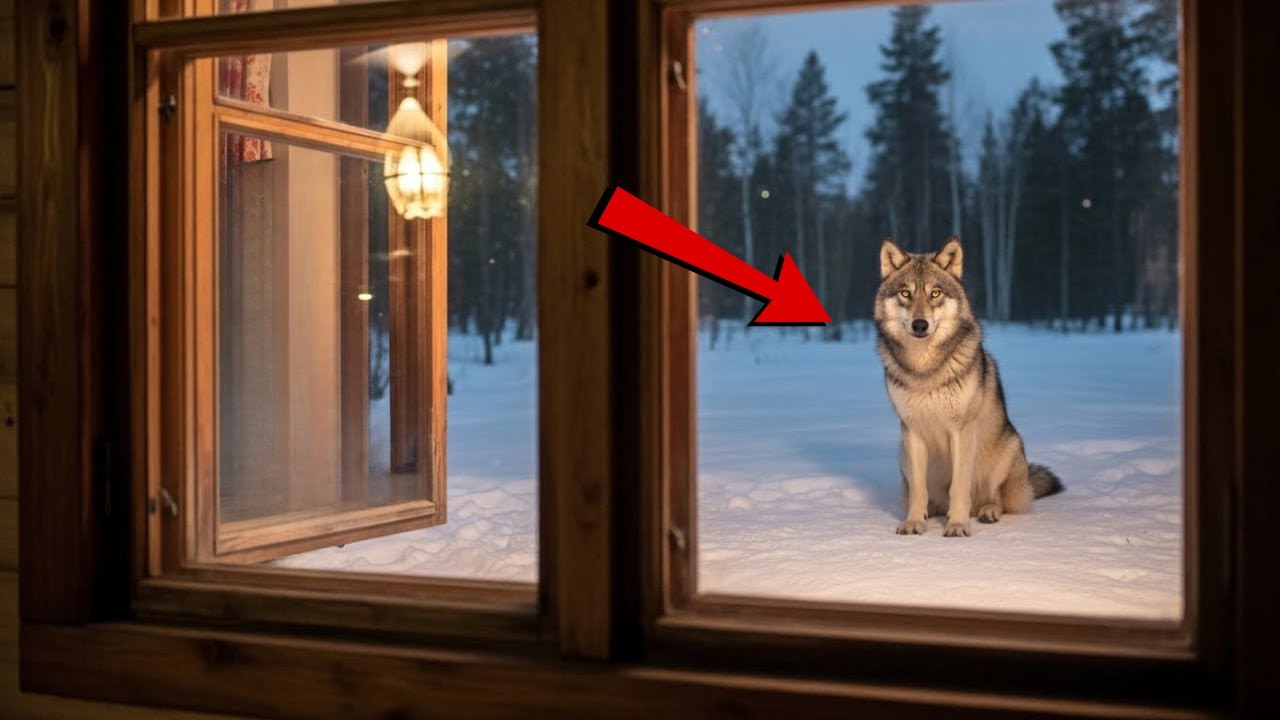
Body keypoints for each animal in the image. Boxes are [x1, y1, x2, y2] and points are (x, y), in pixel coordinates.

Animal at [875, 236, 1063, 537]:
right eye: (905, 294)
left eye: (935, 294)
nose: (920, 324)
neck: (925, 369)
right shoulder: (912, 431)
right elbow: (918, 490)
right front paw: (914, 522)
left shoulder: (961, 430)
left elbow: (959, 487)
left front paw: (957, 526)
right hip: (902, 453)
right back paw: (932, 513)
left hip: (1007, 448)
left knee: (996, 499)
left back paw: (988, 512)